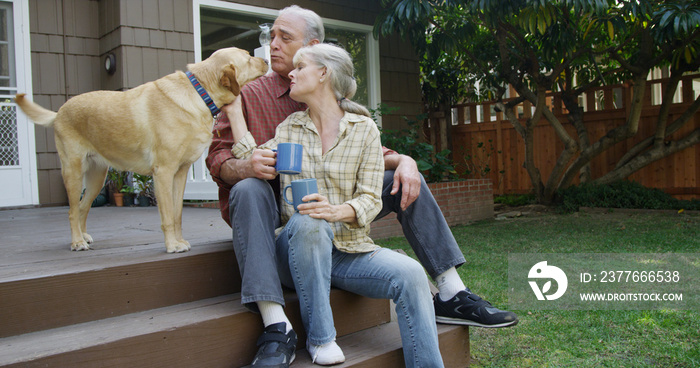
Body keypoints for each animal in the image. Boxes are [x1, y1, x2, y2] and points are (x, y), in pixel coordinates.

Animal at [17, 46, 268, 253]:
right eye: (248, 58)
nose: (266, 60)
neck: (200, 92)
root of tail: (59, 112)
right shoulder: (163, 172)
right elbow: (167, 216)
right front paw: (172, 246)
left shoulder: (180, 173)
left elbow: (177, 213)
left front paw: (179, 240)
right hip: (73, 171)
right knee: (71, 211)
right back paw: (77, 242)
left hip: (97, 177)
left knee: (82, 207)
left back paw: (84, 236)